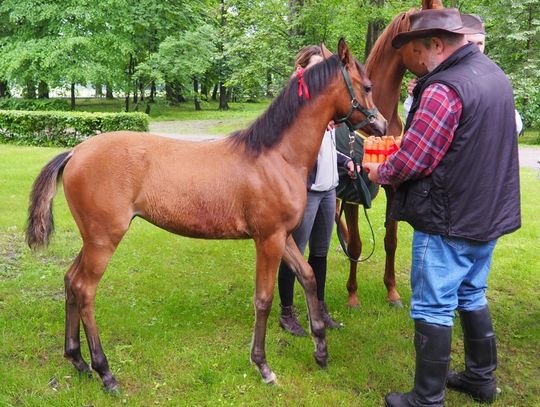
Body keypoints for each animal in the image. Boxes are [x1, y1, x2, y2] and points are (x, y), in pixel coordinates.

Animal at [25, 39, 386, 394]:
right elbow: (263, 299)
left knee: (70, 281)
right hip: (103, 240)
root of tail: (75, 152)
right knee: (84, 289)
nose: (381, 125)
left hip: (92, 240)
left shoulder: (282, 237)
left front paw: (321, 351)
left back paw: (78, 360)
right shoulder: (267, 239)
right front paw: (263, 367)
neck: (276, 156)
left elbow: (308, 276)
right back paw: (105, 372)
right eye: (367, 85)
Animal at [338, 0, 442, 308]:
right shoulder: (353, 192)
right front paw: (352, 295)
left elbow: (391, 240)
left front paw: (392, 291)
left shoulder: (394, 188)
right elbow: (357, 244)